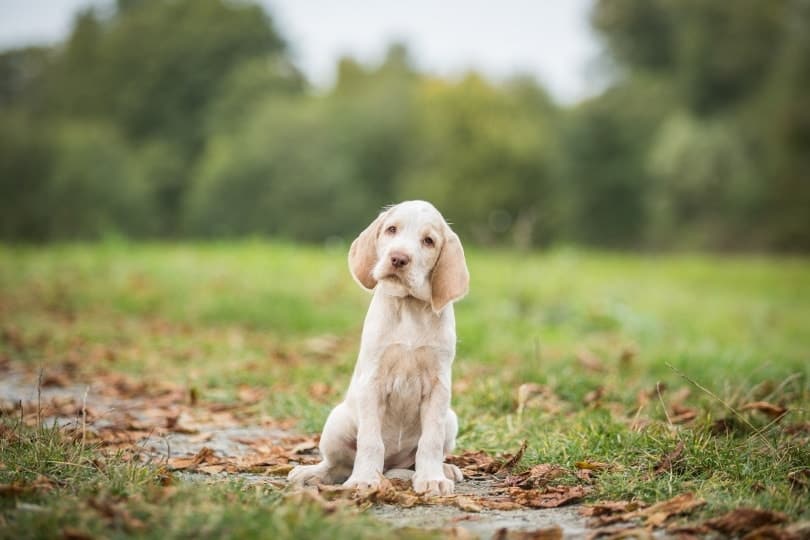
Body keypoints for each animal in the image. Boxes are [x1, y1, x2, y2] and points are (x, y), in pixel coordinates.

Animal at [288, 200, 468, 496]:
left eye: (428, 241)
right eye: (392, 229)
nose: (398, 258)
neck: (408, 308)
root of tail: (391, 465)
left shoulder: (438, 386)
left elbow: (430, 441)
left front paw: (431, 478)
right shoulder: (373, 381)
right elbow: (370, 441)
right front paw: (363, 480)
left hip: (451, 420)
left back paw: (445, 469)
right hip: (336, 422)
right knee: (337, 466)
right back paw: (311, 474)